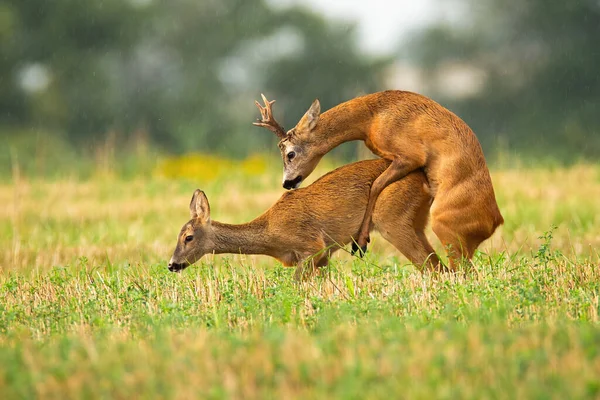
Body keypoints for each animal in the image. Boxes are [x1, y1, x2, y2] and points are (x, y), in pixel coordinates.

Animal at [166, 158, 438, 280]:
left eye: (188, 237)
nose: (171, 264)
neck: (270, 233)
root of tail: (424, 179)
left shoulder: (313, 246)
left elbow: (296, 283)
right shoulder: (324, 255)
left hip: (392, 219)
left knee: (432, 265)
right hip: (416, 221)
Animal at [253, 92, 506, 270]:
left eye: (290, 153)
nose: (287, 183)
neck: (372, 116)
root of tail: (495, 221)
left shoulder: (410, 156)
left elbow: (375, 185)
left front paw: (361, 242)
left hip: (445, 228)